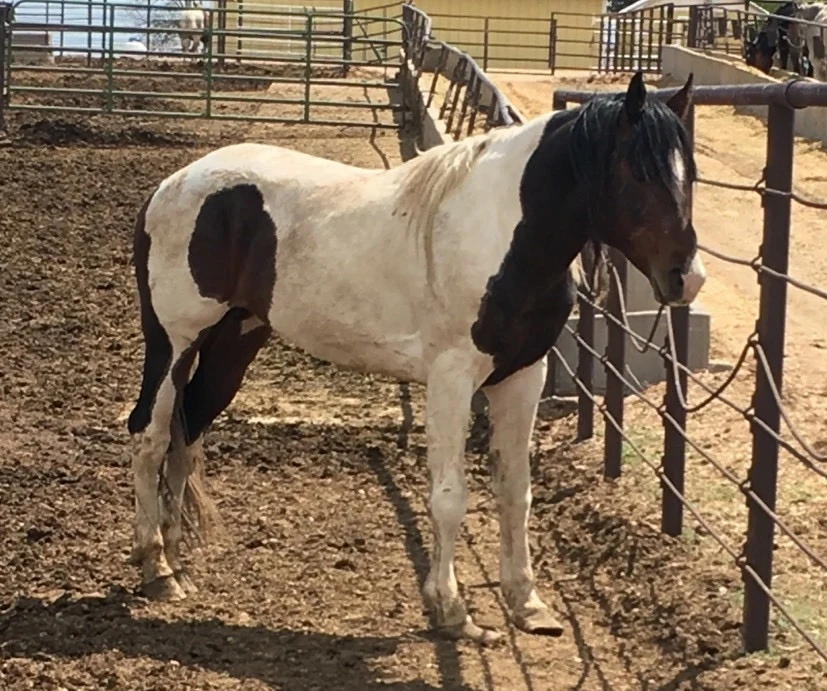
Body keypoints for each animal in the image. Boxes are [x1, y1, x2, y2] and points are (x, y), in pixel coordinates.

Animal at [126, 71, 705, 644]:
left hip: (234, 341)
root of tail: (173, 185)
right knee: (150, 435)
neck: (503, 234)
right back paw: (156, 568)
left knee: (187, 432)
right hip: (174, 342)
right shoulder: (452, 378)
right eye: (637, 171)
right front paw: (452, 611)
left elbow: (516, 492)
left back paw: (176, 559)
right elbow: (449, 497)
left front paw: (527, 604)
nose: (687, 278)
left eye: (689, 173)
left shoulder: (522, 376)